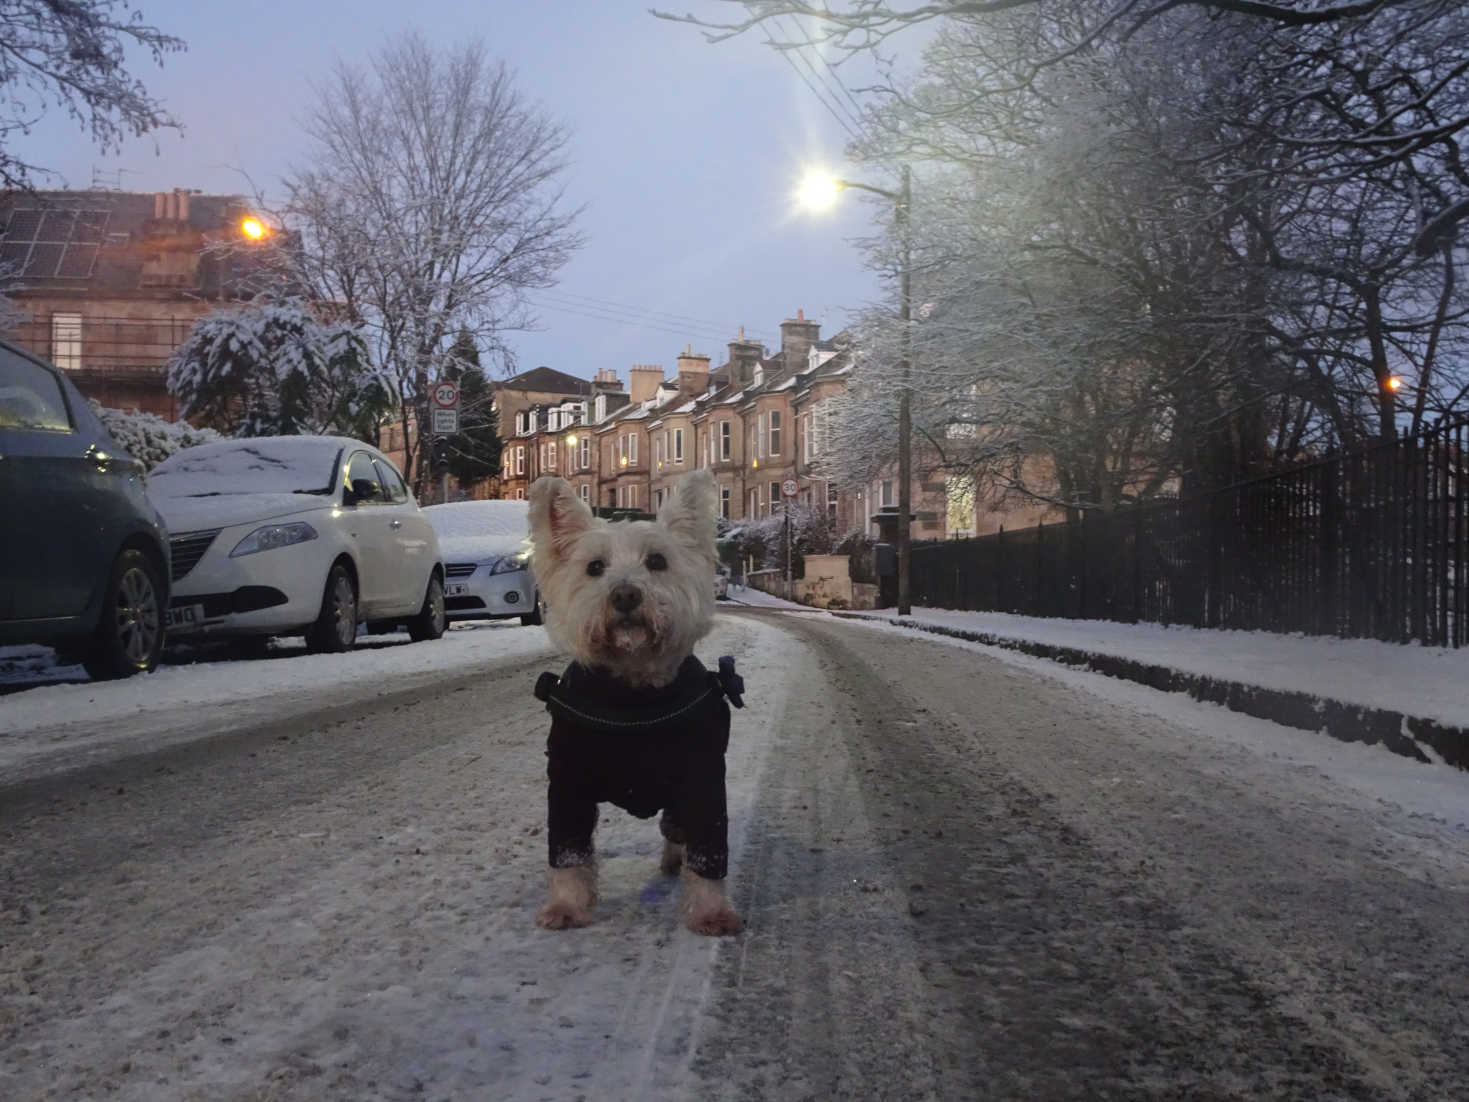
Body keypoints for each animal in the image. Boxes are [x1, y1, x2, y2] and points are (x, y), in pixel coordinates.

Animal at [525, 467, 740, 940]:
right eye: (594, 567)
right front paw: (566, 907)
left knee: (675, 832)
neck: (632, 698)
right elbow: (568, 851)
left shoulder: (702, 783)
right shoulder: (567, 785)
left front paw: (711, 913)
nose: (624, 595)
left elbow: (708, 851)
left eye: (657, 562)